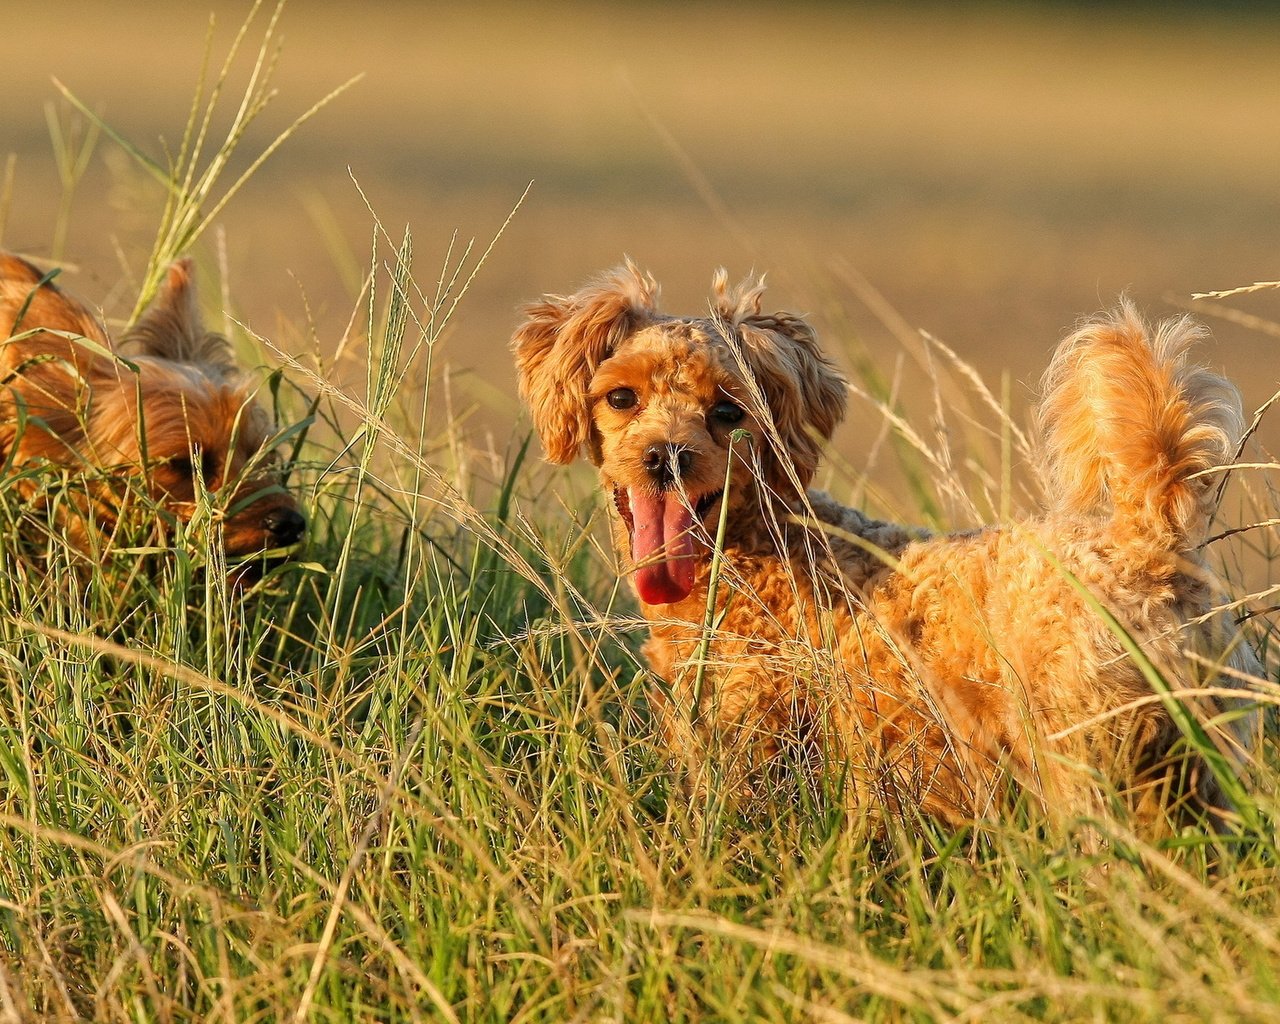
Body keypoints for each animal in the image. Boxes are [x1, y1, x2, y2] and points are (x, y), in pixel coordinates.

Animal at [514, 262, 1264, 824]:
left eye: (728, 412)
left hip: (1086, 753)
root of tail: (1149, 536)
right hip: (1200, 764)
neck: (761, 549)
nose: (666, 457)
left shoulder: (756, 736)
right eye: (621, 398)